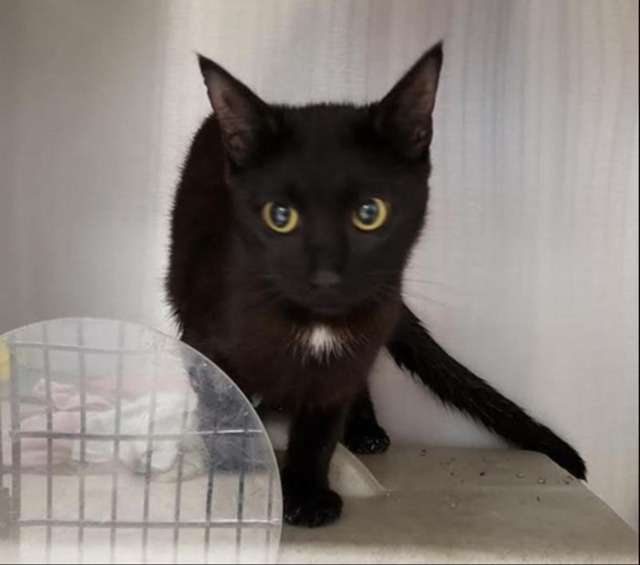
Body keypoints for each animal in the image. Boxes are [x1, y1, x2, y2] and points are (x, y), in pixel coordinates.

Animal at [166, 41, 584, 528]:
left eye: (370, 212)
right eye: (279, 215)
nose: (325, 275)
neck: (314, 327)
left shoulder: (347, 357)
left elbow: (322, 427)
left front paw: (307, 495)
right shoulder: (206, 337)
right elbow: (221, 405)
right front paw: (238, 471)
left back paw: (365, 430)